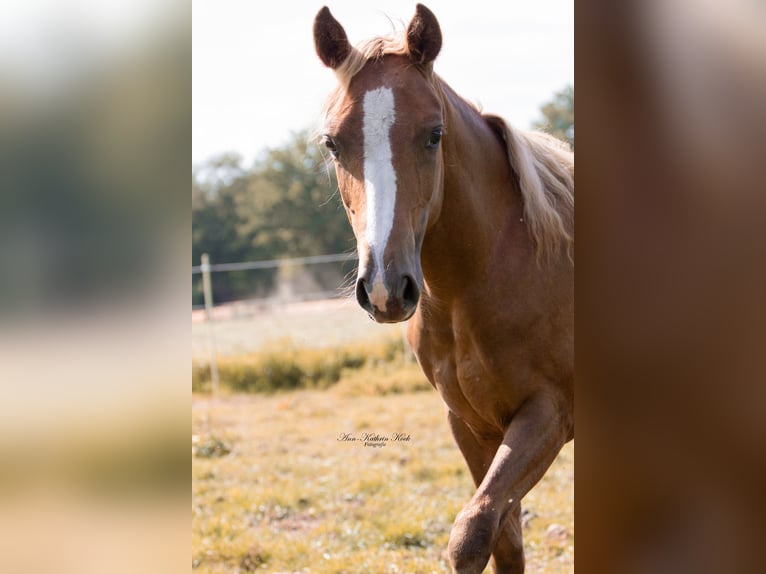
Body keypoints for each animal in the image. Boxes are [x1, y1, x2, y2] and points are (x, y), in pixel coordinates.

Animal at [313, 5, 573, 573]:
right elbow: (502, 539)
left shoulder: (548, 413)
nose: (386, 288)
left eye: (434, 134)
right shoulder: (470, 424)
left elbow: (472, 530)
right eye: (332, 143)